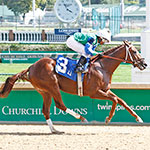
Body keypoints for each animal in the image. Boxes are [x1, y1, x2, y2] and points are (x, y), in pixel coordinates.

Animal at [0, 40, 147, 134]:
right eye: (134, 51)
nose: (144, 64)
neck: (102, 67)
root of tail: (31, 67)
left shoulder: (105, 90)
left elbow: (122, 101)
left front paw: (138, 118)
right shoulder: (94, 93)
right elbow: (116, 100)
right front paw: (108, 119)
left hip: (44, 91)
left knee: (46, 110)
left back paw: (55, 130)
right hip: (53, 86)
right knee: (60, 105)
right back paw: (81, 118)